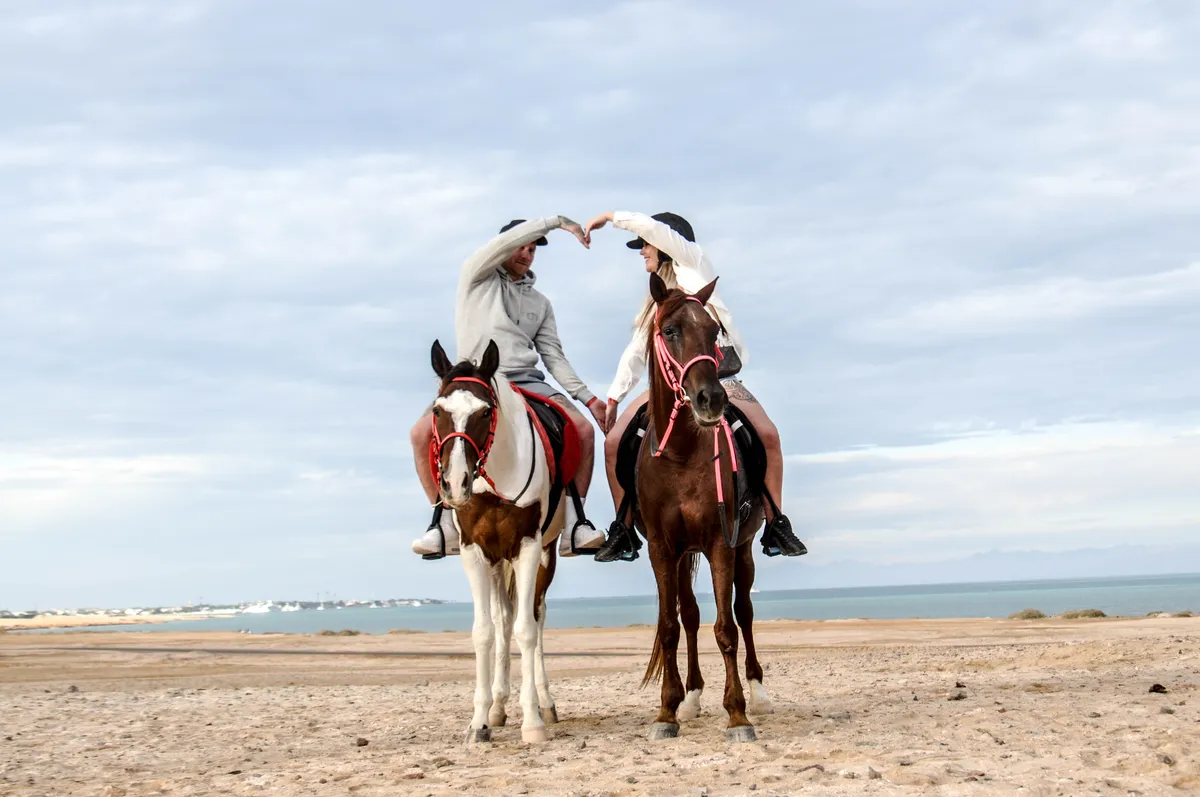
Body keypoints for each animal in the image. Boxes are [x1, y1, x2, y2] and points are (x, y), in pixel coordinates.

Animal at [428, 338, 565, 744]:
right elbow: (485, 632)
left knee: (534, 616)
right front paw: (480, 721)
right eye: (438, 410)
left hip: (543, 558)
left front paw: (532, 721)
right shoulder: (475, 553)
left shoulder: (528, 547)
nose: (455, 483)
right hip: (497, 561)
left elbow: (526, 630)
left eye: (485, 411)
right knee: (504, 619)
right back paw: (499, 706)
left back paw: (544, 703)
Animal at [634, 272, 773, 743]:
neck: (679, 455)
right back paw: (691, 697)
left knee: (745, 612)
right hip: (682, 557)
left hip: (743, 549)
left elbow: (726, 627)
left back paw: (758, 692)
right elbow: (670, 627)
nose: (711, 400)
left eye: (715, 332)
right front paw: (667, 711)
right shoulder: (662, 550)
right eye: (670, 330)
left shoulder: (719, 544)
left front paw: (738, 714)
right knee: (690, 617)